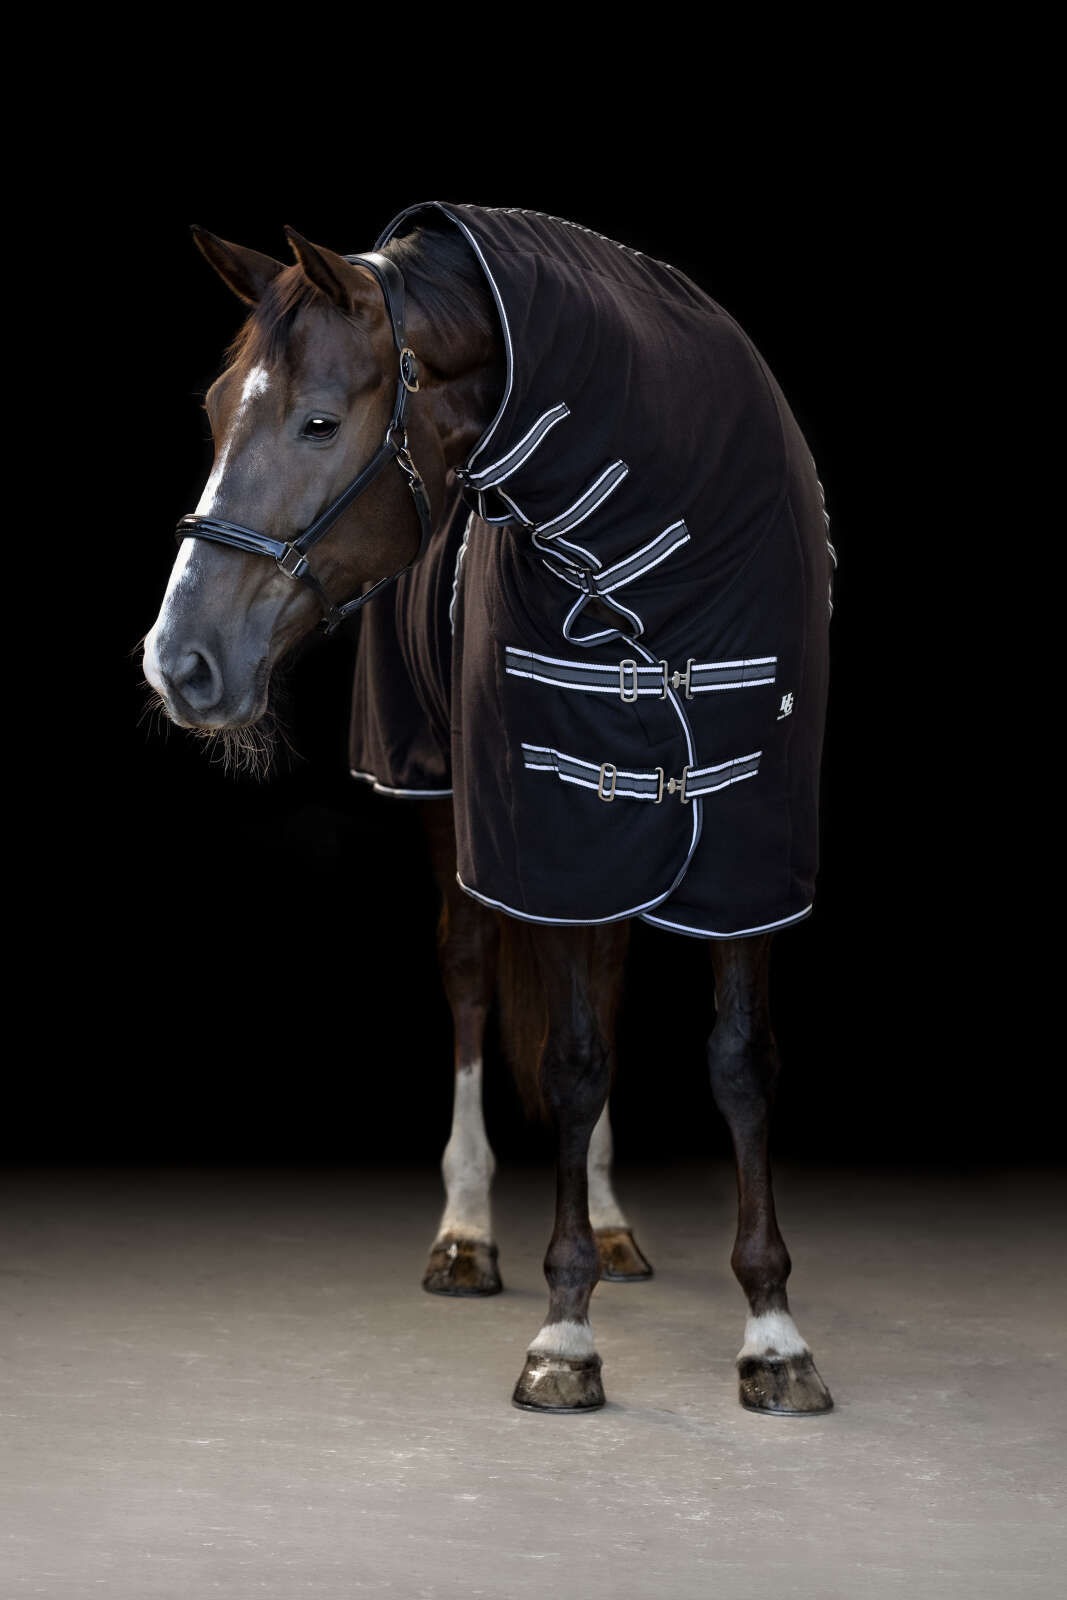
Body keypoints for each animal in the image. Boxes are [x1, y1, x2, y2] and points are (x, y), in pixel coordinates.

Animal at [143, 207, 835, 1416]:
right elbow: (567, 1060)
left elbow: (739, 1060)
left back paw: (610, 1223)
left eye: (320, 421)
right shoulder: (541, 826)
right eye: (217, 411)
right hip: (446, 797)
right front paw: (564, 1336)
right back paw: (465, 1233)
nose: (178, 662)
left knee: (603, 989)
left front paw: (772, 1330)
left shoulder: (746, 843)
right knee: (470, 980)